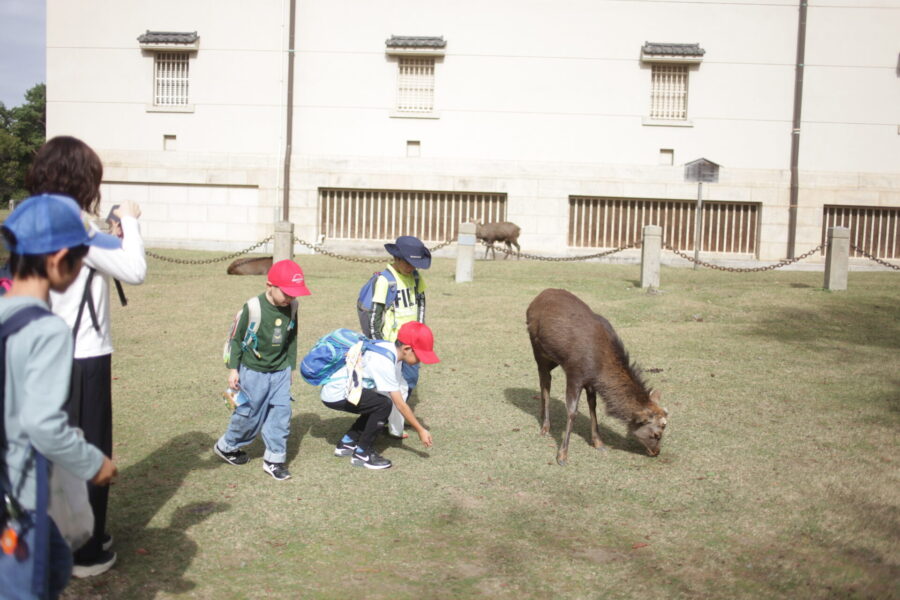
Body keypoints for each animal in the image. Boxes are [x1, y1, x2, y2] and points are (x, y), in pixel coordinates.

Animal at [524, 288, 664, 466]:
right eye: (656, 434)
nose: (656, 452)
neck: (599, 367)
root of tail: (537, 298)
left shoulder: (590, 381)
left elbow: (593, 405)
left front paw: (598, 443)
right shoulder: (575, 373)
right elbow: (572, 411)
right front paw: (562, 455)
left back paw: (542, 416)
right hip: (538, 351)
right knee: (545, 382)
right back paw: (545, 427)